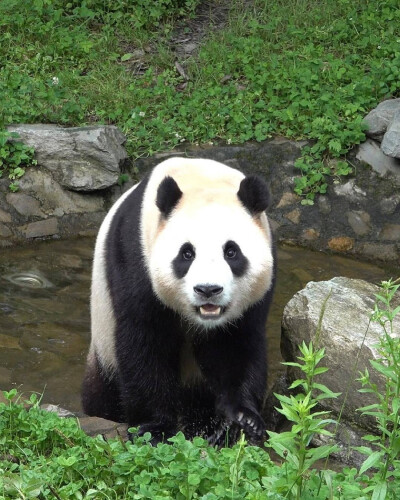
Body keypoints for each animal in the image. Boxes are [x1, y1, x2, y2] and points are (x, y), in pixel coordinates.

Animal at [81, 157, 276, 446]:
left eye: (231, 252)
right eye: (187, 253)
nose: (208, 289)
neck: (201, 179)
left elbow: (236, 344)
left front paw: (241, 421)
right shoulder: (134, 256)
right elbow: (144, 340)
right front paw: (155, 428)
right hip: (103, 346)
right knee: (101, 394)